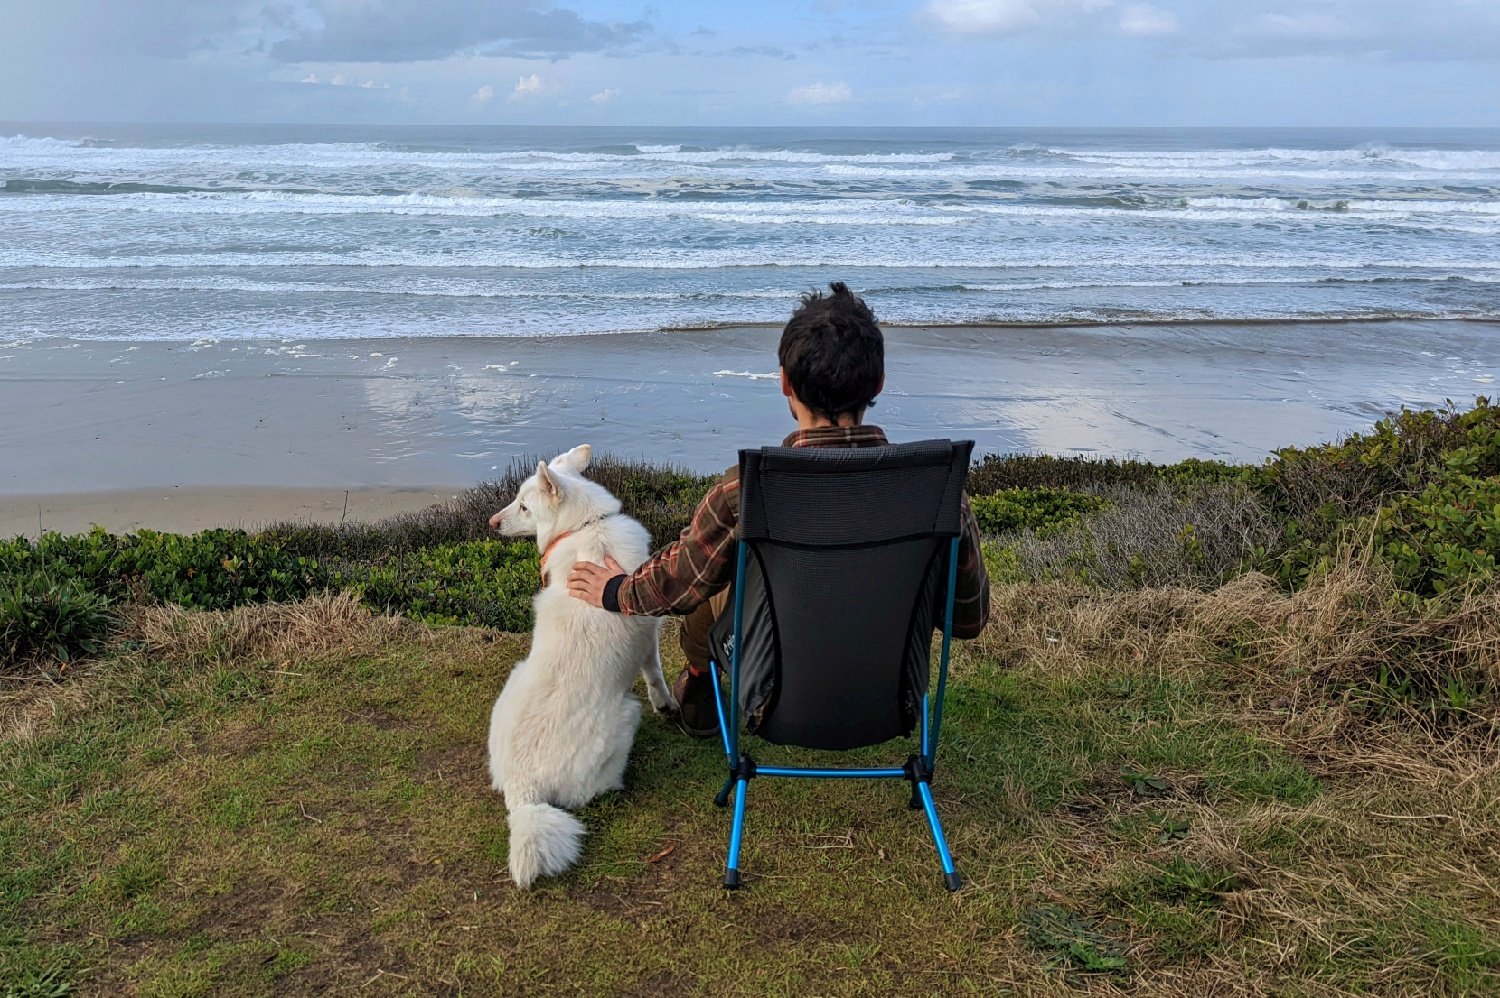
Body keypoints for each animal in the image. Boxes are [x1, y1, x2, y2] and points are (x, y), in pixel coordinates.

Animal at [483, 444, 678, 888]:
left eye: (523, 505)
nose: (491, 522)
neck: (588, 527)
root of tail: (524, 790)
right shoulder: (650, 632)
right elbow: (656, 675)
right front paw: (667, 703)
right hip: (627, 713)